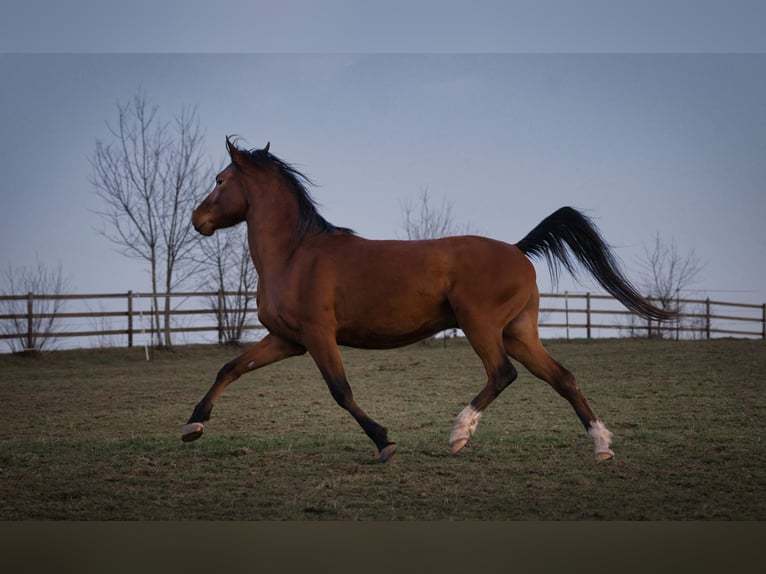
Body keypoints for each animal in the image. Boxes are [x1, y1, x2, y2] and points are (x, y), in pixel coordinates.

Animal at [183, 137, 673, 463]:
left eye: (220, 179)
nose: (196, 219)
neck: (295, 254)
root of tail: (518, 249)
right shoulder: (288, 339)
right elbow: (231, 367)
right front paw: (193, 424)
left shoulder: (319, 336)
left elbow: (341, 390)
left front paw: (384, 442)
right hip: (518, 333)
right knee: (563, 377)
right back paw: (602, 446)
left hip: (481, 326)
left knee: (503, 374)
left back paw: (459, 434)